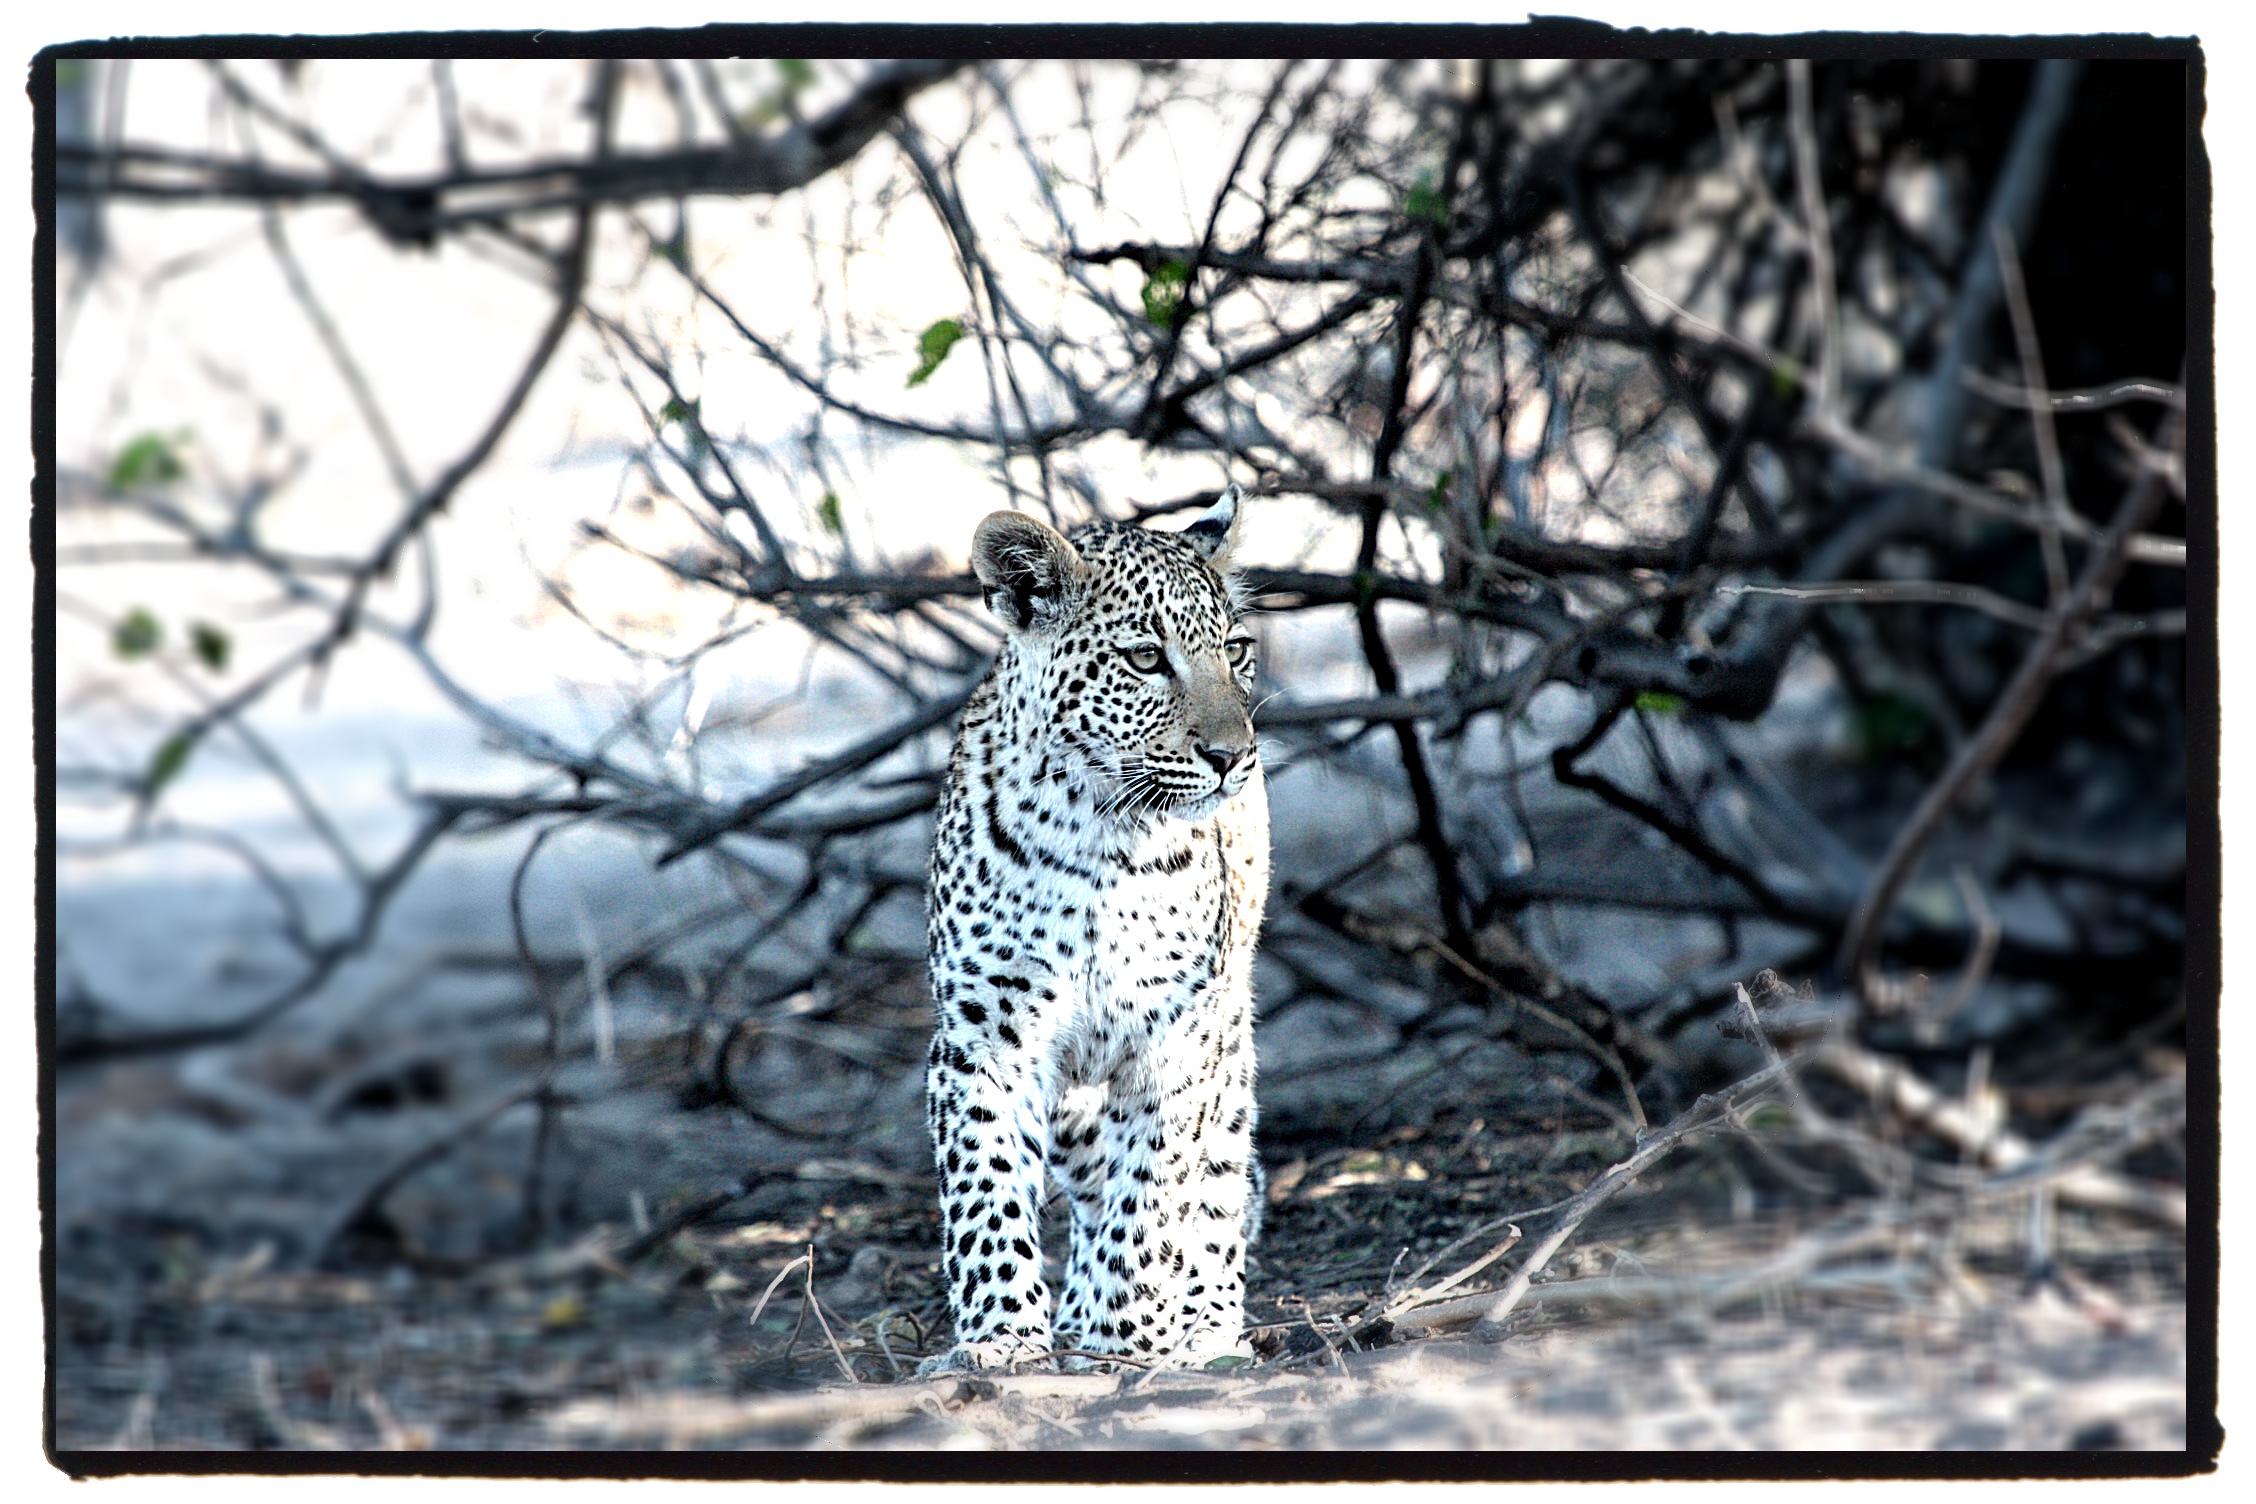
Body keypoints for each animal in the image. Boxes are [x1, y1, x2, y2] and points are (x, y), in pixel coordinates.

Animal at [919, 484, 1269, 1374]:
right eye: (1145, 659)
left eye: (1236, 649)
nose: (1232, 756)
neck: (1100, 841)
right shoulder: (982, 1042)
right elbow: (985, 1187)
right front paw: (1003, 1337)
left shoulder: (1178, 1042)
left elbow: (1151, 1193)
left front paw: (1123, 1329)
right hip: (1072, 1088)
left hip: (1227, 1032)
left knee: (1220, 1181)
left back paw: (1202, 1324)